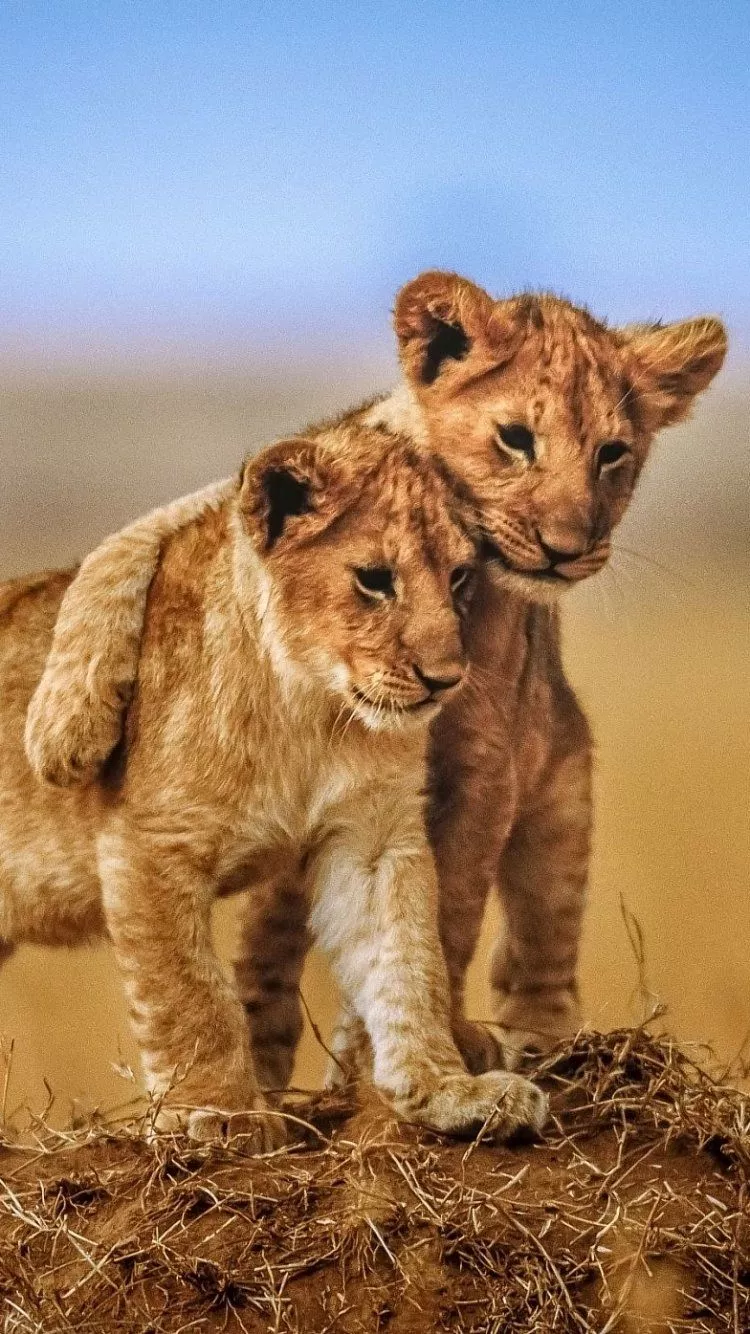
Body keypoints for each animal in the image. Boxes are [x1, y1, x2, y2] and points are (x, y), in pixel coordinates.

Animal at [1, 421, 549, 1143]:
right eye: (374, 580)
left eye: (459, 576)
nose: (445, 679)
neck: (308, 710)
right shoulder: (148, 843)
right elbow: (190, 992)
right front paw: (218, 1113)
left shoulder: (373, 839)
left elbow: (408, 960)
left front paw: (449, 1092)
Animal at [24, 271, 726, 1087]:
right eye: (516, 439)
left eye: (613, 454)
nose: (567, 548)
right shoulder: (247, 498)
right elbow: (123, 549)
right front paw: (65, 729)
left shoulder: (485, 761)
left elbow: (448, 911)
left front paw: (418, 1048)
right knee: (270, 938)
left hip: (562, 788)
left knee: (537, 938)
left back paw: (539, 1042)